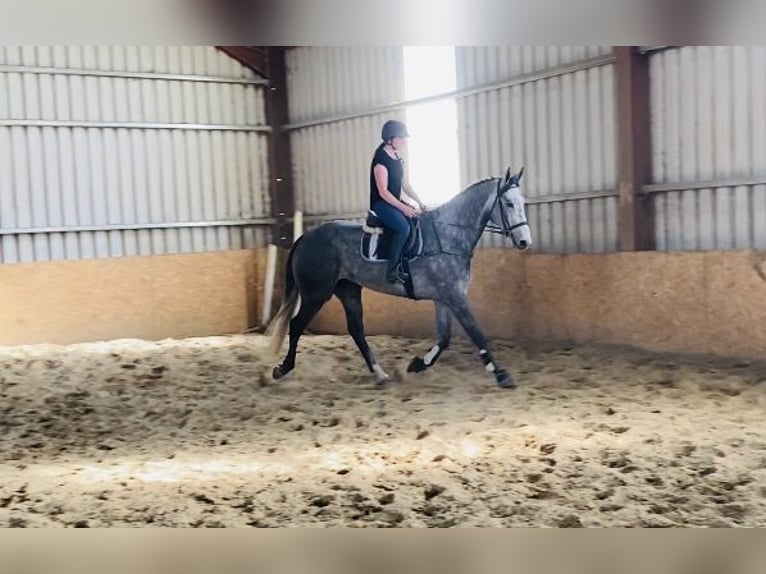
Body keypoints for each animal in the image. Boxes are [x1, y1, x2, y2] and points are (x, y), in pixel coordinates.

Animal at [270, 166, 536, 392]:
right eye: (508, 203)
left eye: (522, 203)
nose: (525, 242)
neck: (448, 235)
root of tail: (304, 238)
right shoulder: (455, 297)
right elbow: (476, 333)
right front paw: (501, 375)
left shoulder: (444, 298)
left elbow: (444, 338)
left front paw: (417, 364)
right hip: (316, 294)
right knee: (296, 325)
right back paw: (282, 369)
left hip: (348, 290)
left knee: (356, 330)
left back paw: (380, 375)